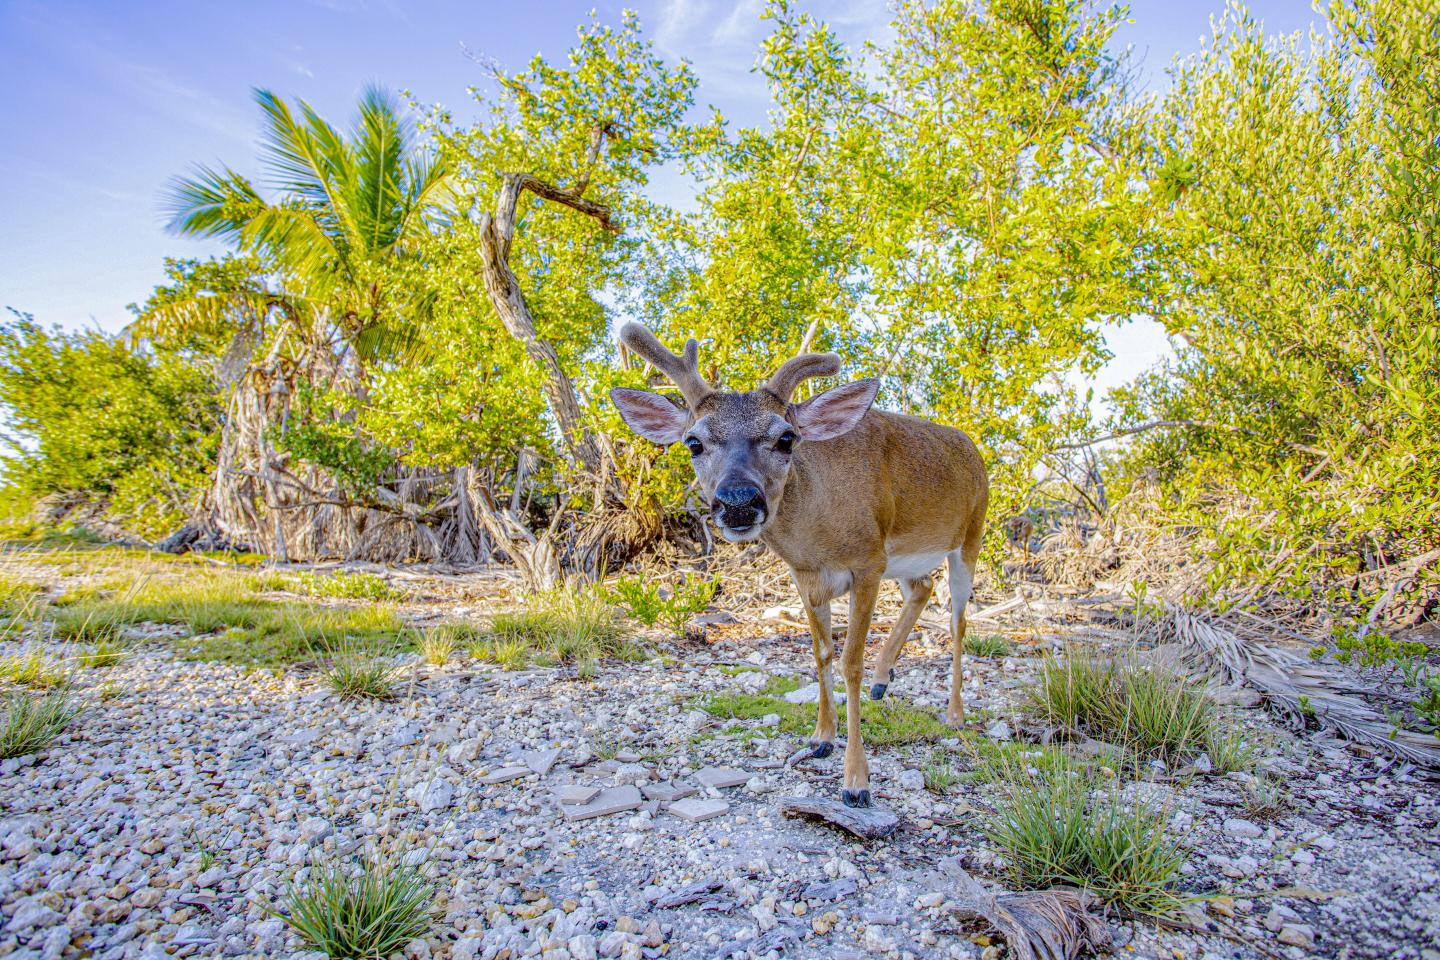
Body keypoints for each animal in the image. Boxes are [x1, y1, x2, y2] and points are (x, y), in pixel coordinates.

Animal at [610, 323, 988, 808]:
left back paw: (955, 713)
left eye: (786, 437)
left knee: (959, 620)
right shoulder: (806, 576)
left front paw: (856, 781)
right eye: (693, 442)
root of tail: (972, 448)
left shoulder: (868, 562)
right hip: (907, 558)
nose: (738, 500)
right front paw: (821, 738)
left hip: (970, 534)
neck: (818, 538)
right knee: (923, 588)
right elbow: (820, 653)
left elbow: (849, 662)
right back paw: (884, 680)